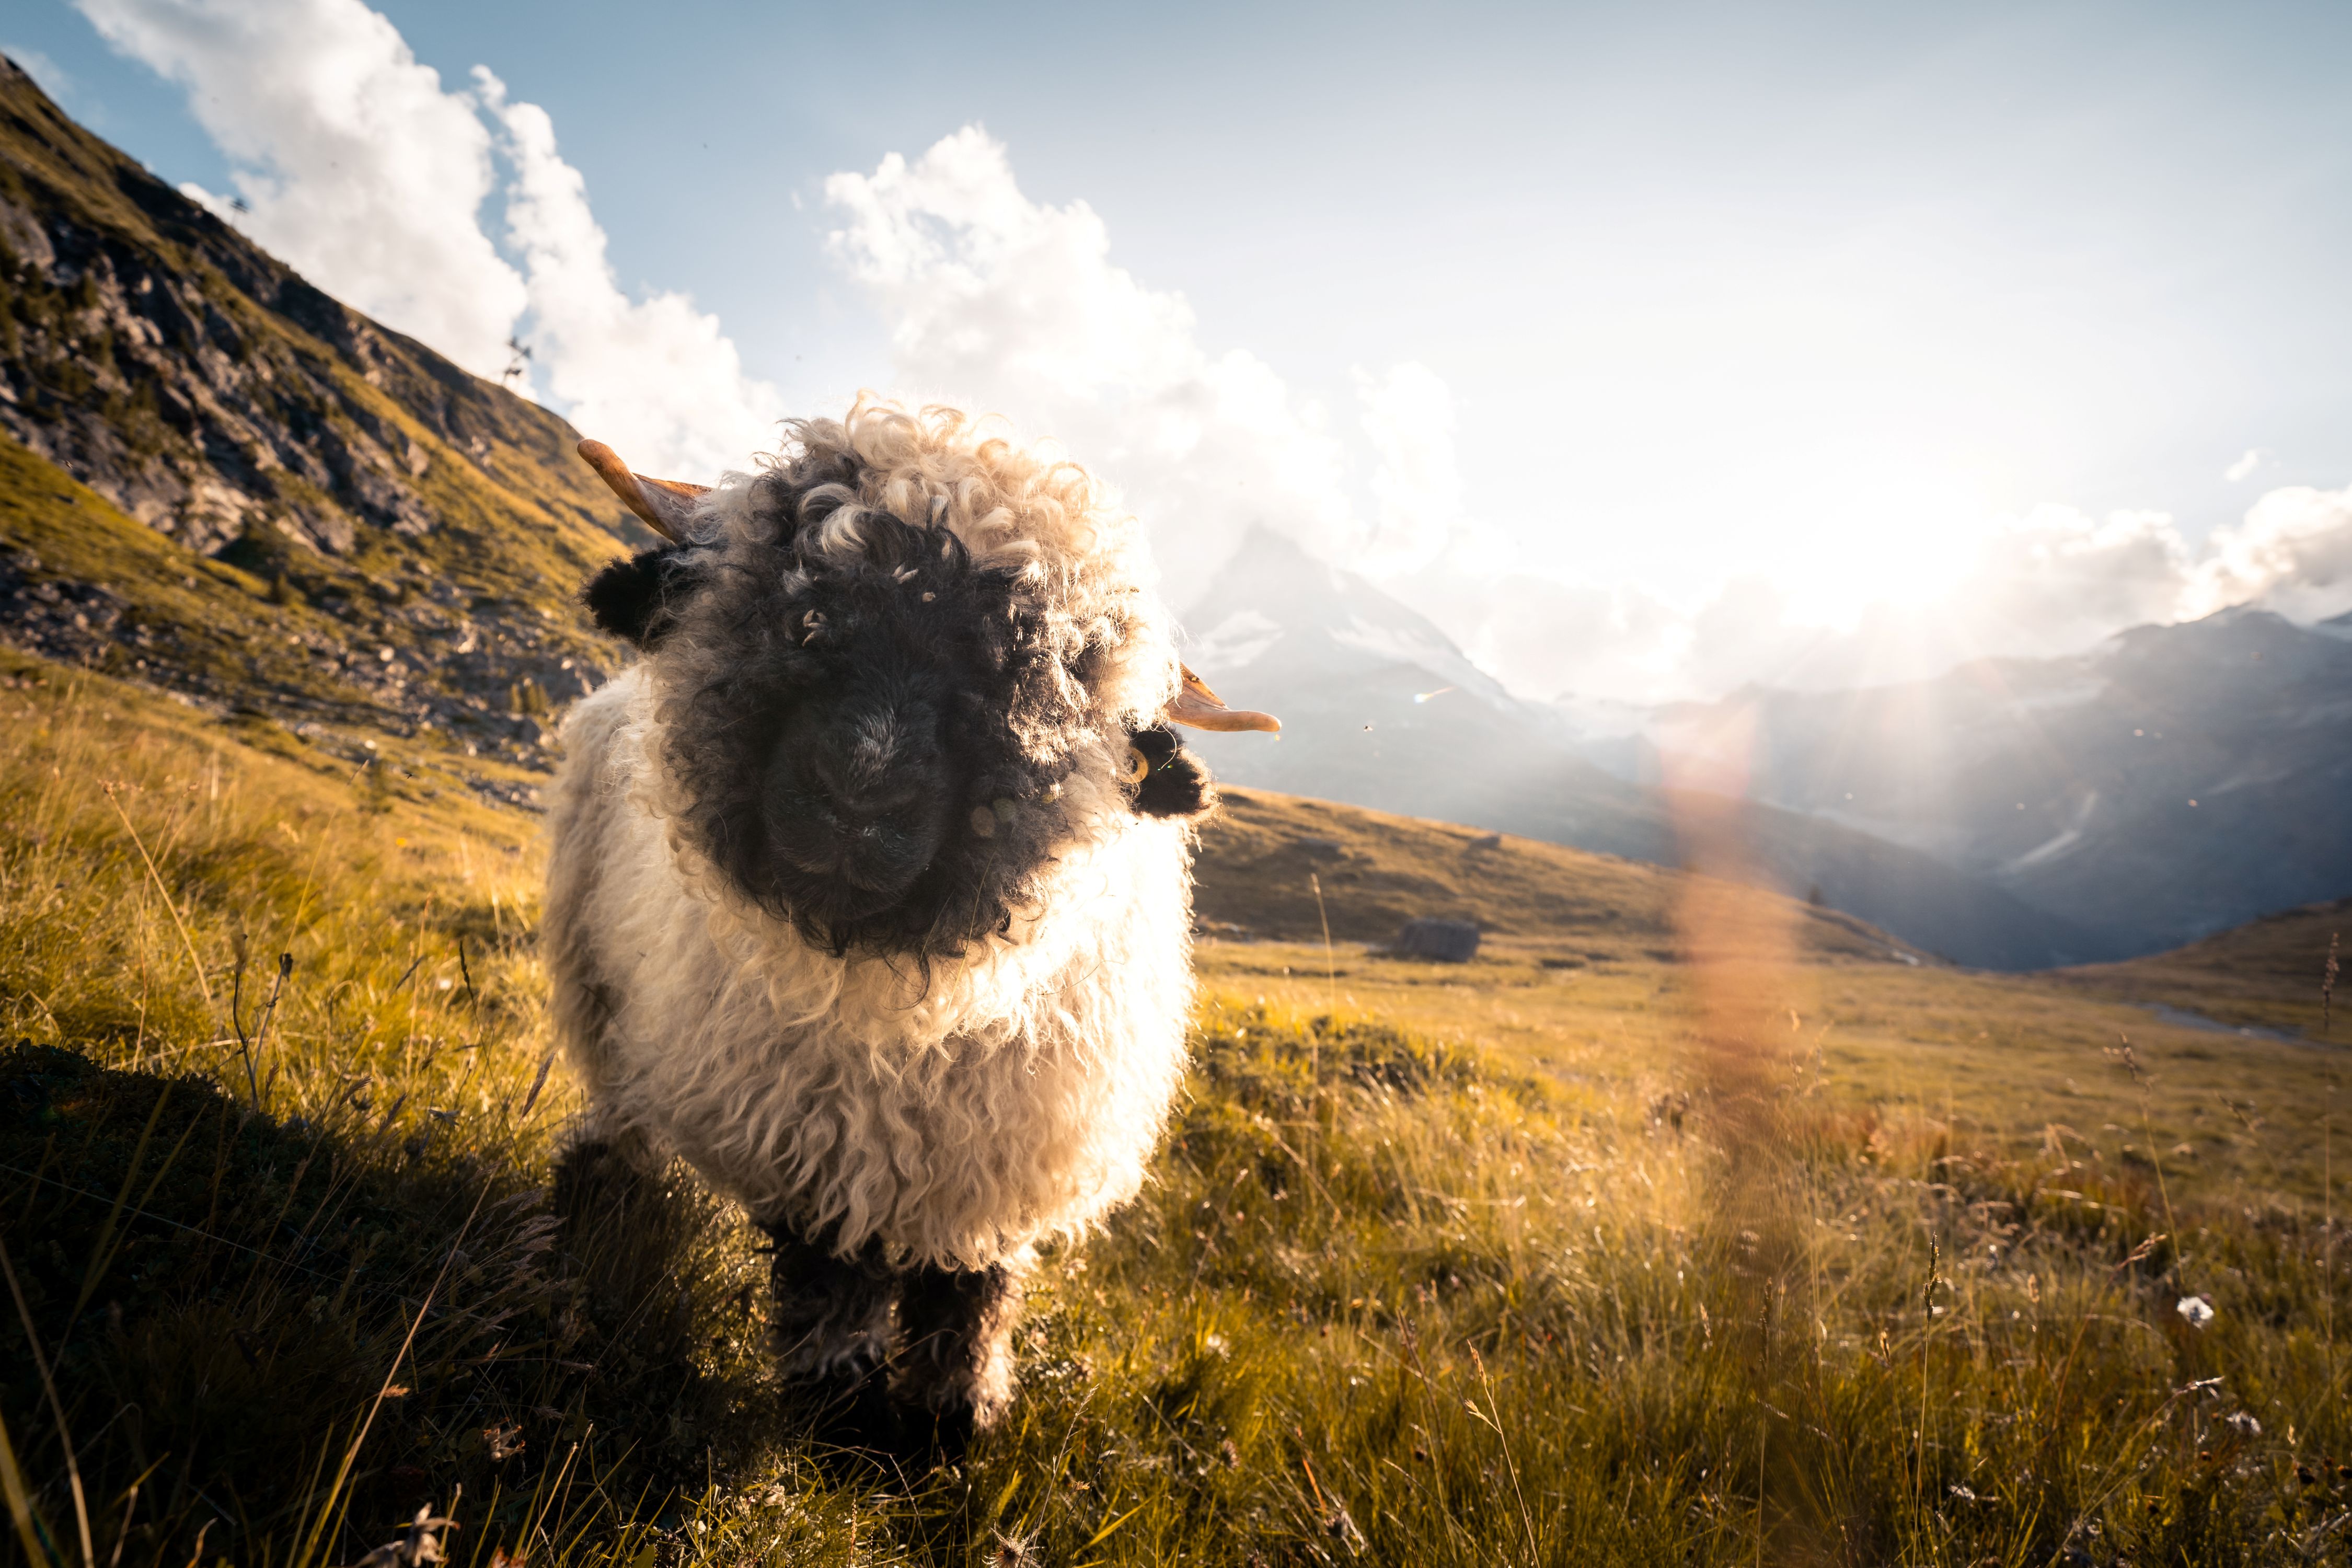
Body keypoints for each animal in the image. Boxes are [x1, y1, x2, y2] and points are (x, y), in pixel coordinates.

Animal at [543, 397, 1277, 1454]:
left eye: (1054, 676)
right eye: (801, 610)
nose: (858, 797)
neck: (909, 1017)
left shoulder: (999, 1165)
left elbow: (969, 1295)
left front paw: (949, 1423)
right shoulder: (813, 1147)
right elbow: (834, 1285)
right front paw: (842, 1421)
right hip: (606, 988)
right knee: (623, 1097)